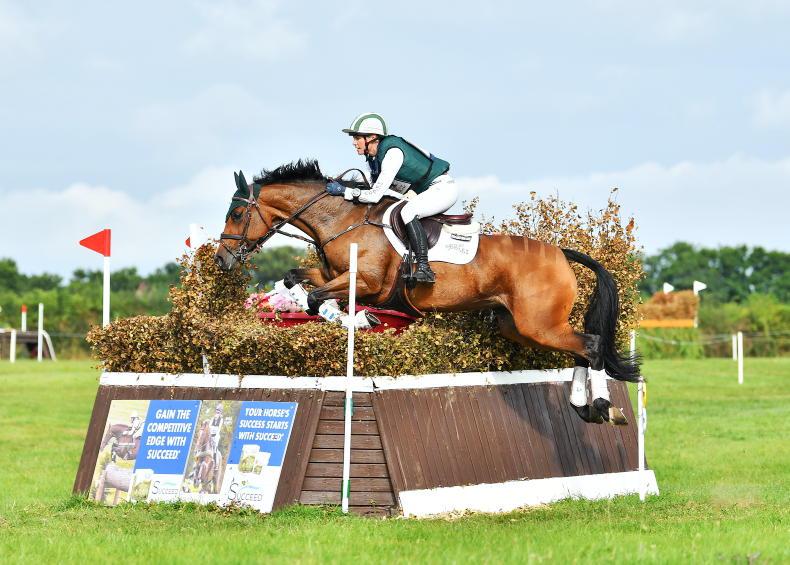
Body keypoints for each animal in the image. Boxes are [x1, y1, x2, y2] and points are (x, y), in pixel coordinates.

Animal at [215, 161, 640, 424]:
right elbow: (296, 279)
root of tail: (561, 253)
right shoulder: (331, 273)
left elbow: (319, 299)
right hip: (520, 326)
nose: (222, 260)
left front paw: (358, 318)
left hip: (539, 324)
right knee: (581, 348)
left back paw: (604, 408)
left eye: (236, 214)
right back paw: (585, 409)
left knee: (591, 345)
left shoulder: (368, 282)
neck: (343, 219)